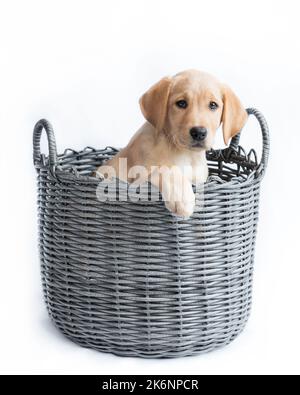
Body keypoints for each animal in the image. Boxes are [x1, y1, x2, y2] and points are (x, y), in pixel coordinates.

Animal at [96, 69, 248, 218]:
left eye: (213, 105)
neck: (186, 155)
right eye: (181, 103)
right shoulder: (137, 175)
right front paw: (182, 197)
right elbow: (166, 169)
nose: (199, 132)